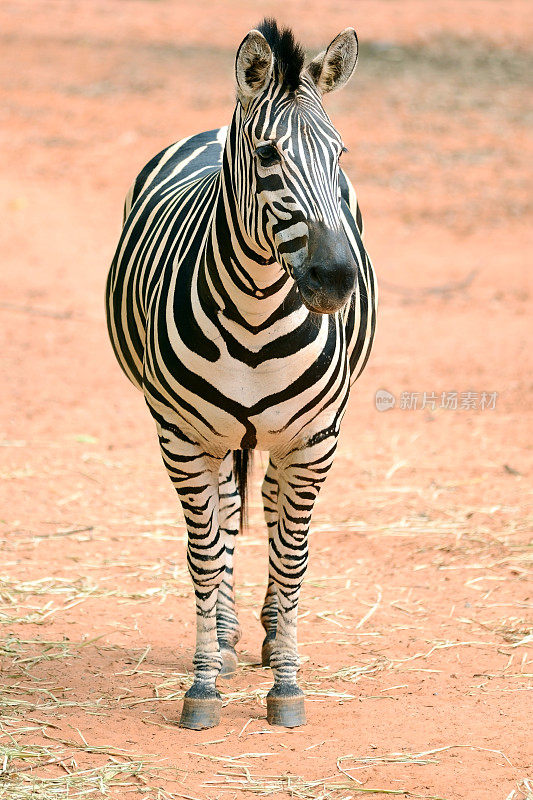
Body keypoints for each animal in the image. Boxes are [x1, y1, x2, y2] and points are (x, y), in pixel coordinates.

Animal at [106, 20, 376, 732]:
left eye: (341, 154)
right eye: (268, 155)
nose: (335, 281)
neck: (255, 310)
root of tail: (208, 129)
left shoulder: (315, 439)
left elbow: (292, 556)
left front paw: (287, 681)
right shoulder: (180, 437)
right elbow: (204, 557)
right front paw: (203, 684)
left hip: (286, 436)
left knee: (274, 507)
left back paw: (269, 632)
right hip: (215, 435)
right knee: (227, 513)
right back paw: (227, 637)